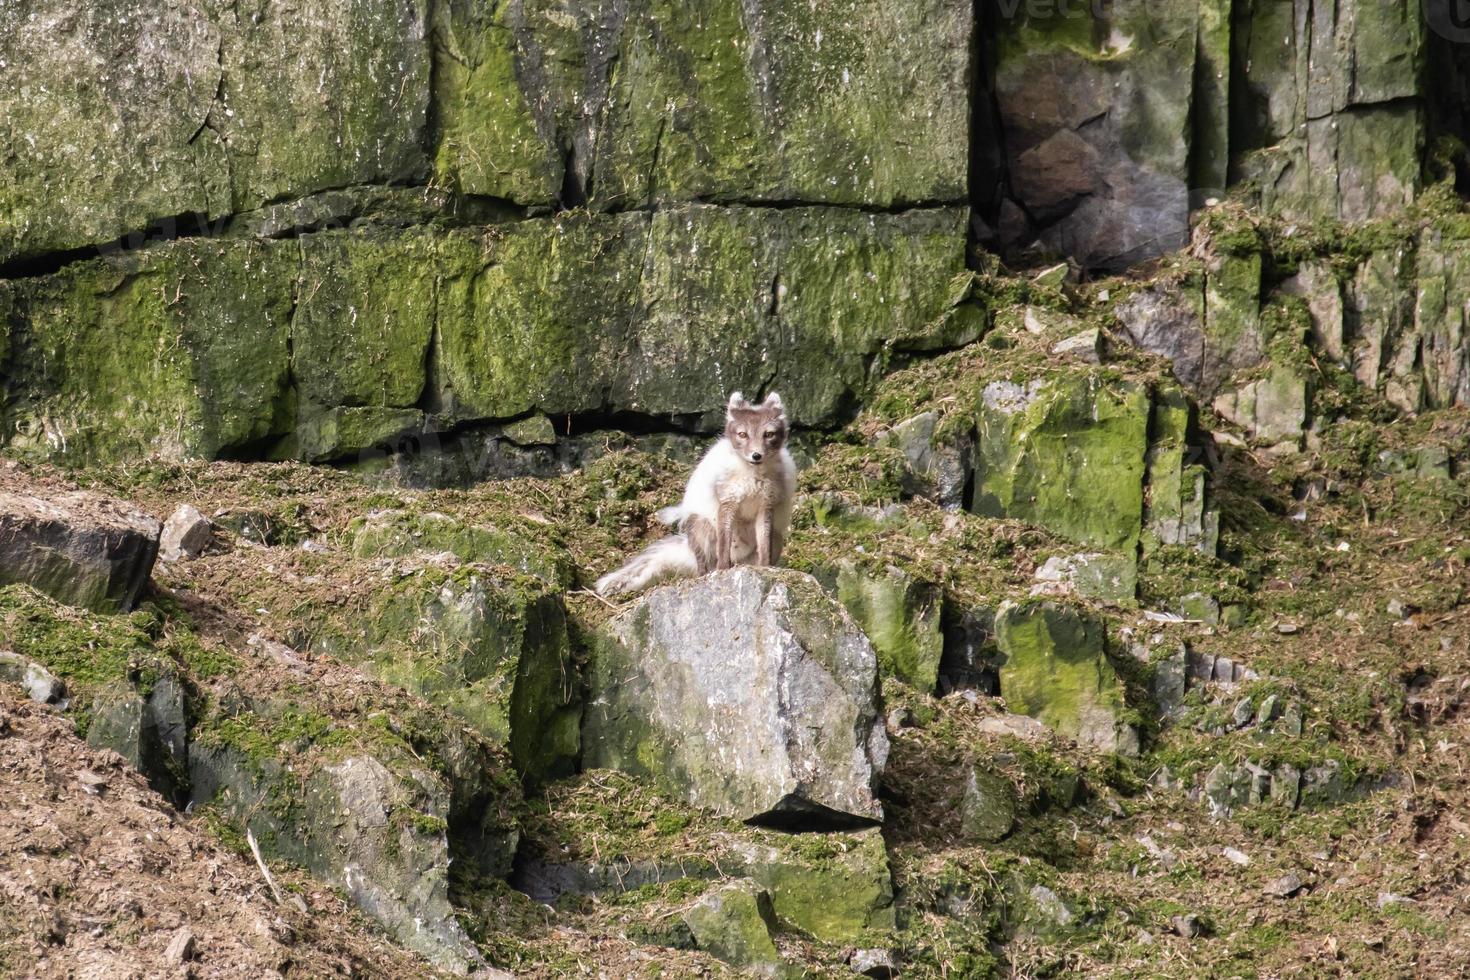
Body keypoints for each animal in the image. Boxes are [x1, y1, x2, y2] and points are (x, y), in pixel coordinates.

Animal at [590, 393, 799, 599]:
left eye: (768, 434)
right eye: (743, 434)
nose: (756, 455)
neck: (752, 478)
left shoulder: (766, 507)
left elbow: (764, 546)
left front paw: (765, 569)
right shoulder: (727, 504)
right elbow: (724, 543)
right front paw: (724, 571)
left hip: (777, 537)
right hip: (701, 525)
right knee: (704, 568)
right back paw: (712, 572)